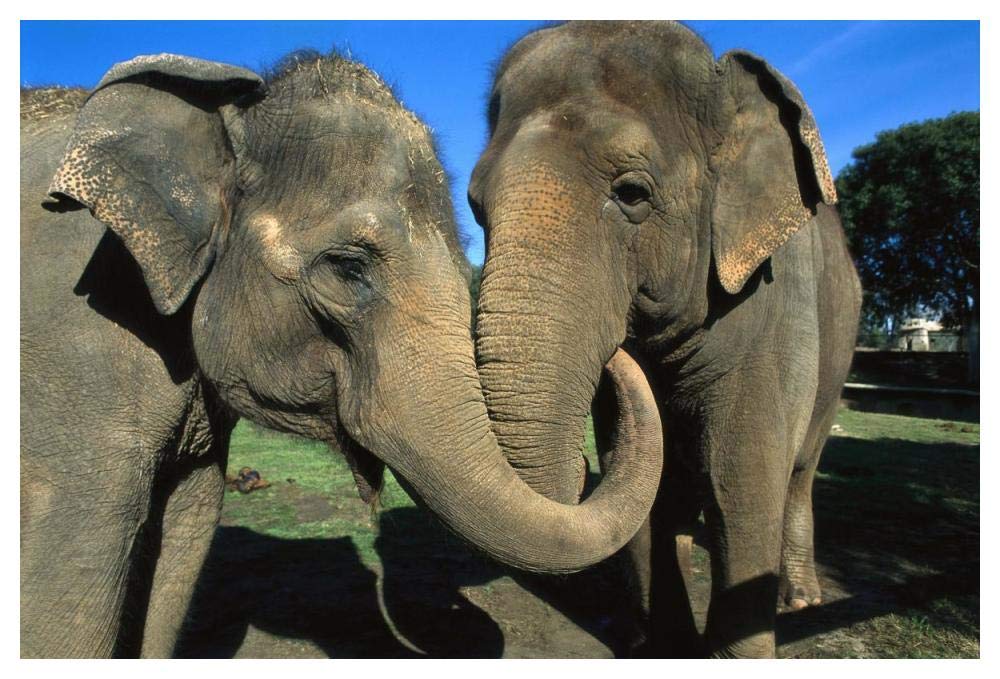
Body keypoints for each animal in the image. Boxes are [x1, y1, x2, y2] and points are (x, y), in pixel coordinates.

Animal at [468, 21, 862, 658]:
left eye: (632, 193)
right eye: (476, 207)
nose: (618, 352)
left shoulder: (779, 303)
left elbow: (741, 474)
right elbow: (643, 478)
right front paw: (663, 645)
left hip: (840, 347)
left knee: (800, 469)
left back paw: (801, 600)